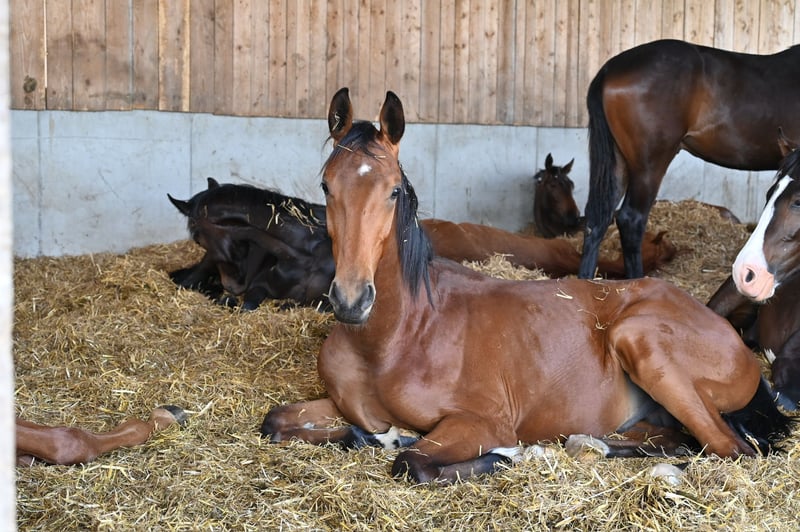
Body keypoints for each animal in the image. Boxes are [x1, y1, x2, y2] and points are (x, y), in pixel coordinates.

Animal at [260, 88, 792, 484]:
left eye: (393, 191)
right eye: (327, 186)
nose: (351, 301)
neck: (395, 336)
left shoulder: (481, 421)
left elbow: (412, 463)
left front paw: (505, 454)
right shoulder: (336, 406)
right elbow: (277, 421)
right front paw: (378, 435)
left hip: (639, 340)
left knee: (729, 450)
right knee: (672, 440)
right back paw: (583, 444)